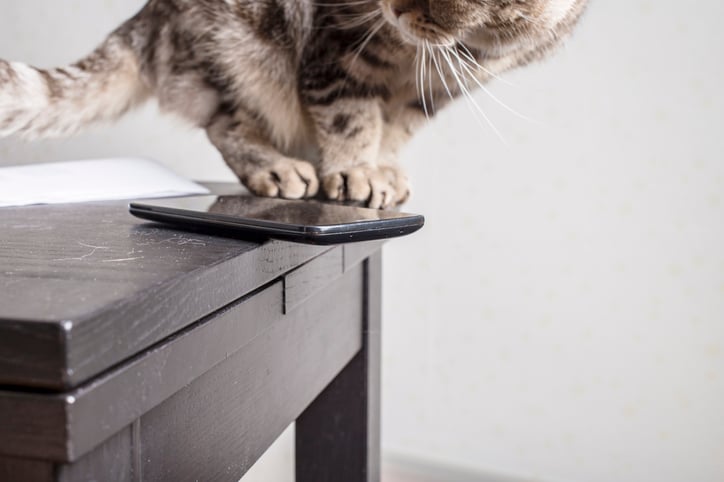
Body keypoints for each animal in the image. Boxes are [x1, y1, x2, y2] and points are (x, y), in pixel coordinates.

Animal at [0, 0, 588, 208]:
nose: (394, 7)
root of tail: (147, 16)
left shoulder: (436, 88)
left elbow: (395, 128)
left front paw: (382, 169)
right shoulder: (339, 51)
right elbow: (352, 118)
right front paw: (355, 172)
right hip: (236, 54)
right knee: (226, 126)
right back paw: (279, 169)